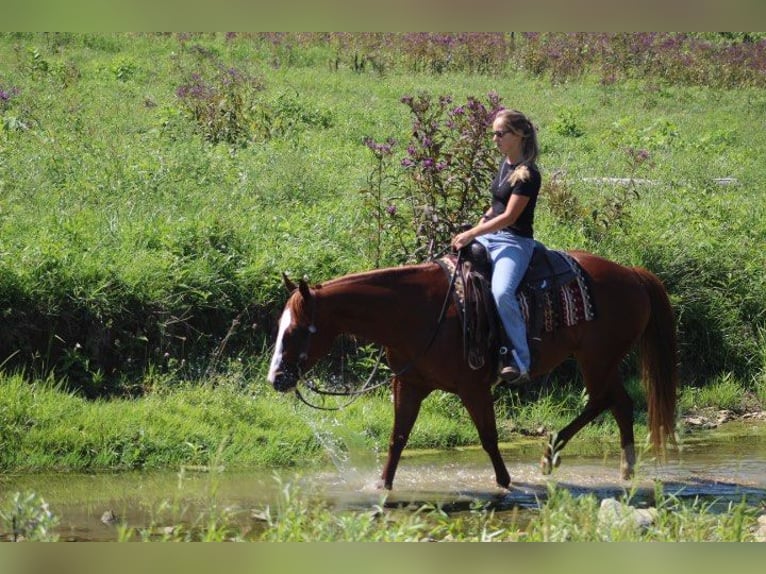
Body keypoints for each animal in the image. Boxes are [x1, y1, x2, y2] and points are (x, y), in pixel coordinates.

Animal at [268, 250, 680, 492]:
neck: (418, 311)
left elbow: (489, 438)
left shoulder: (474, 387)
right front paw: (383, 486)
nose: (276, 379)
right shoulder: (409, 384)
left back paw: (563, 457)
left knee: (607, 401)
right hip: (597, 359)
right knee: (617, 403)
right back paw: (607, 466)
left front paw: (505, 484)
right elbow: (398, 438)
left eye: (296, 330)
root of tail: (631, 274)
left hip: (597, 358)